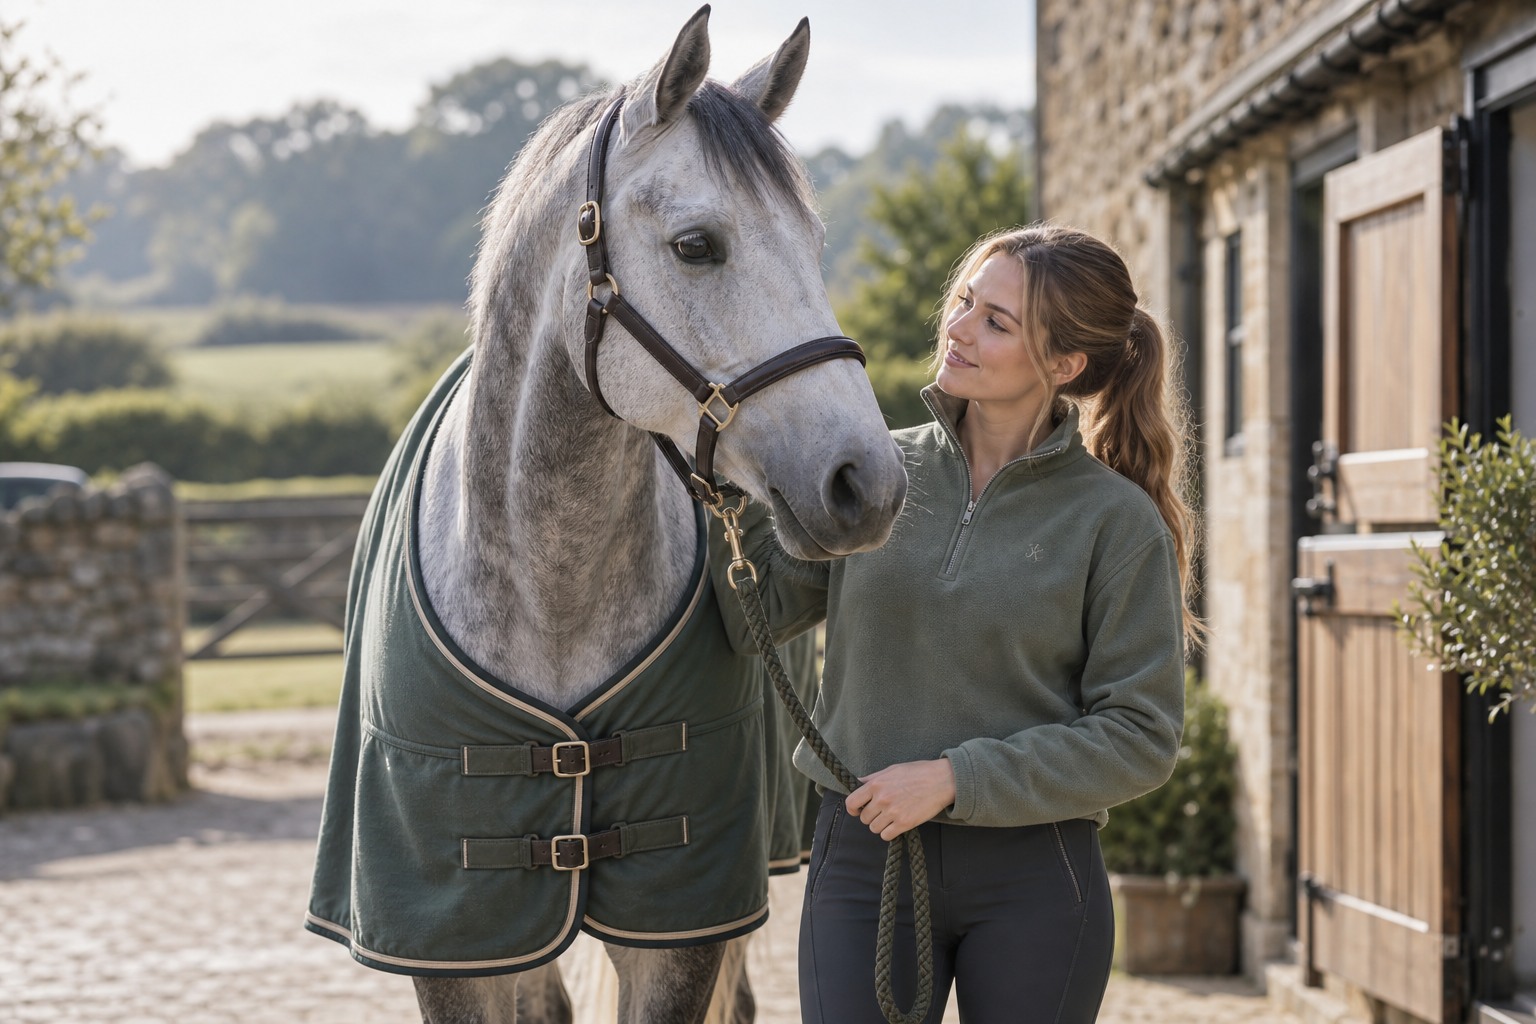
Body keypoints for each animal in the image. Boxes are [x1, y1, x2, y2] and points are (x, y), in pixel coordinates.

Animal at [305, 7, 907, 1023]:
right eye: (697, 245)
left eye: (814, 244)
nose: (867, 482)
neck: (549, 589)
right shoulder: (455, 943)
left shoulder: (682, 925)